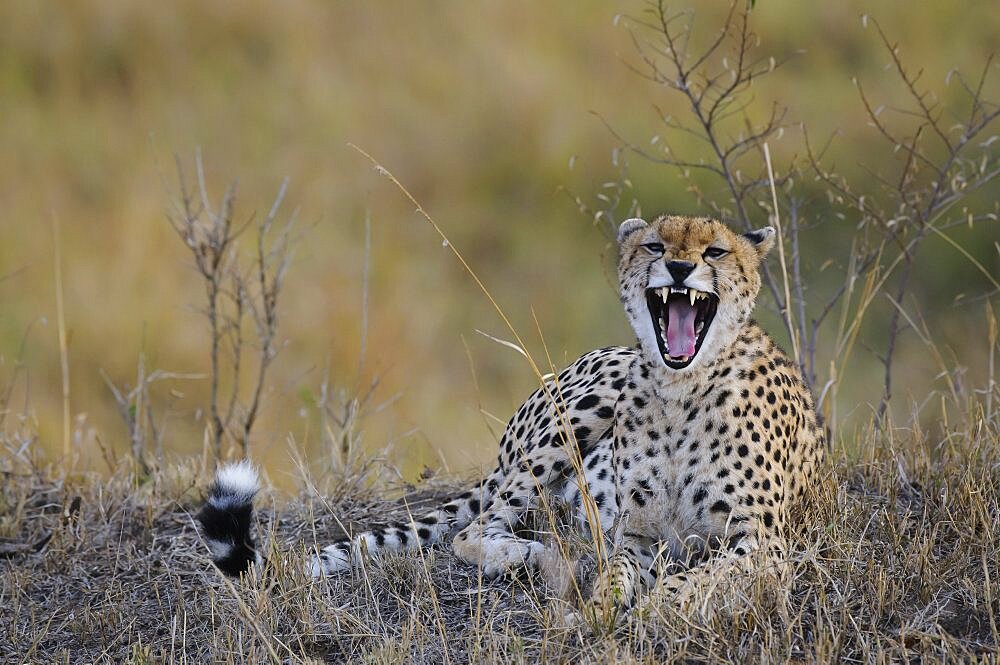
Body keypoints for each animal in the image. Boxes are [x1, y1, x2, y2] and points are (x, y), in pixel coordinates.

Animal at [199, 213, 824, 612]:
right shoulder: (638, 536)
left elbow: (699, 579)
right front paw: (604, 604)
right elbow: (618, 572)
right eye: (654, 246)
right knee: (475, 529)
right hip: (580, 409)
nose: (676, 269)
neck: (679, 388)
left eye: (715, 251)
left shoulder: (762, 544)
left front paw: (656, 608)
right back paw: (528, 555)